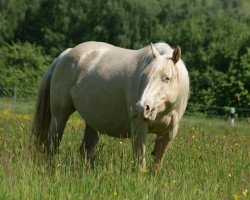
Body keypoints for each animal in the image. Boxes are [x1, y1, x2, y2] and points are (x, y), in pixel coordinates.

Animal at [32, 41, 189, 172]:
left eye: (166, 78)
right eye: (144, 76)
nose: (141, 108)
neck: (164, 110)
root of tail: (64, 55)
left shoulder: (168, 134)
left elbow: (157, 164)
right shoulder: (139, 128)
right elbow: (140, 162)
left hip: (92, 122)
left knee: (85, 150)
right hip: (59, 116)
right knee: (53, 146)